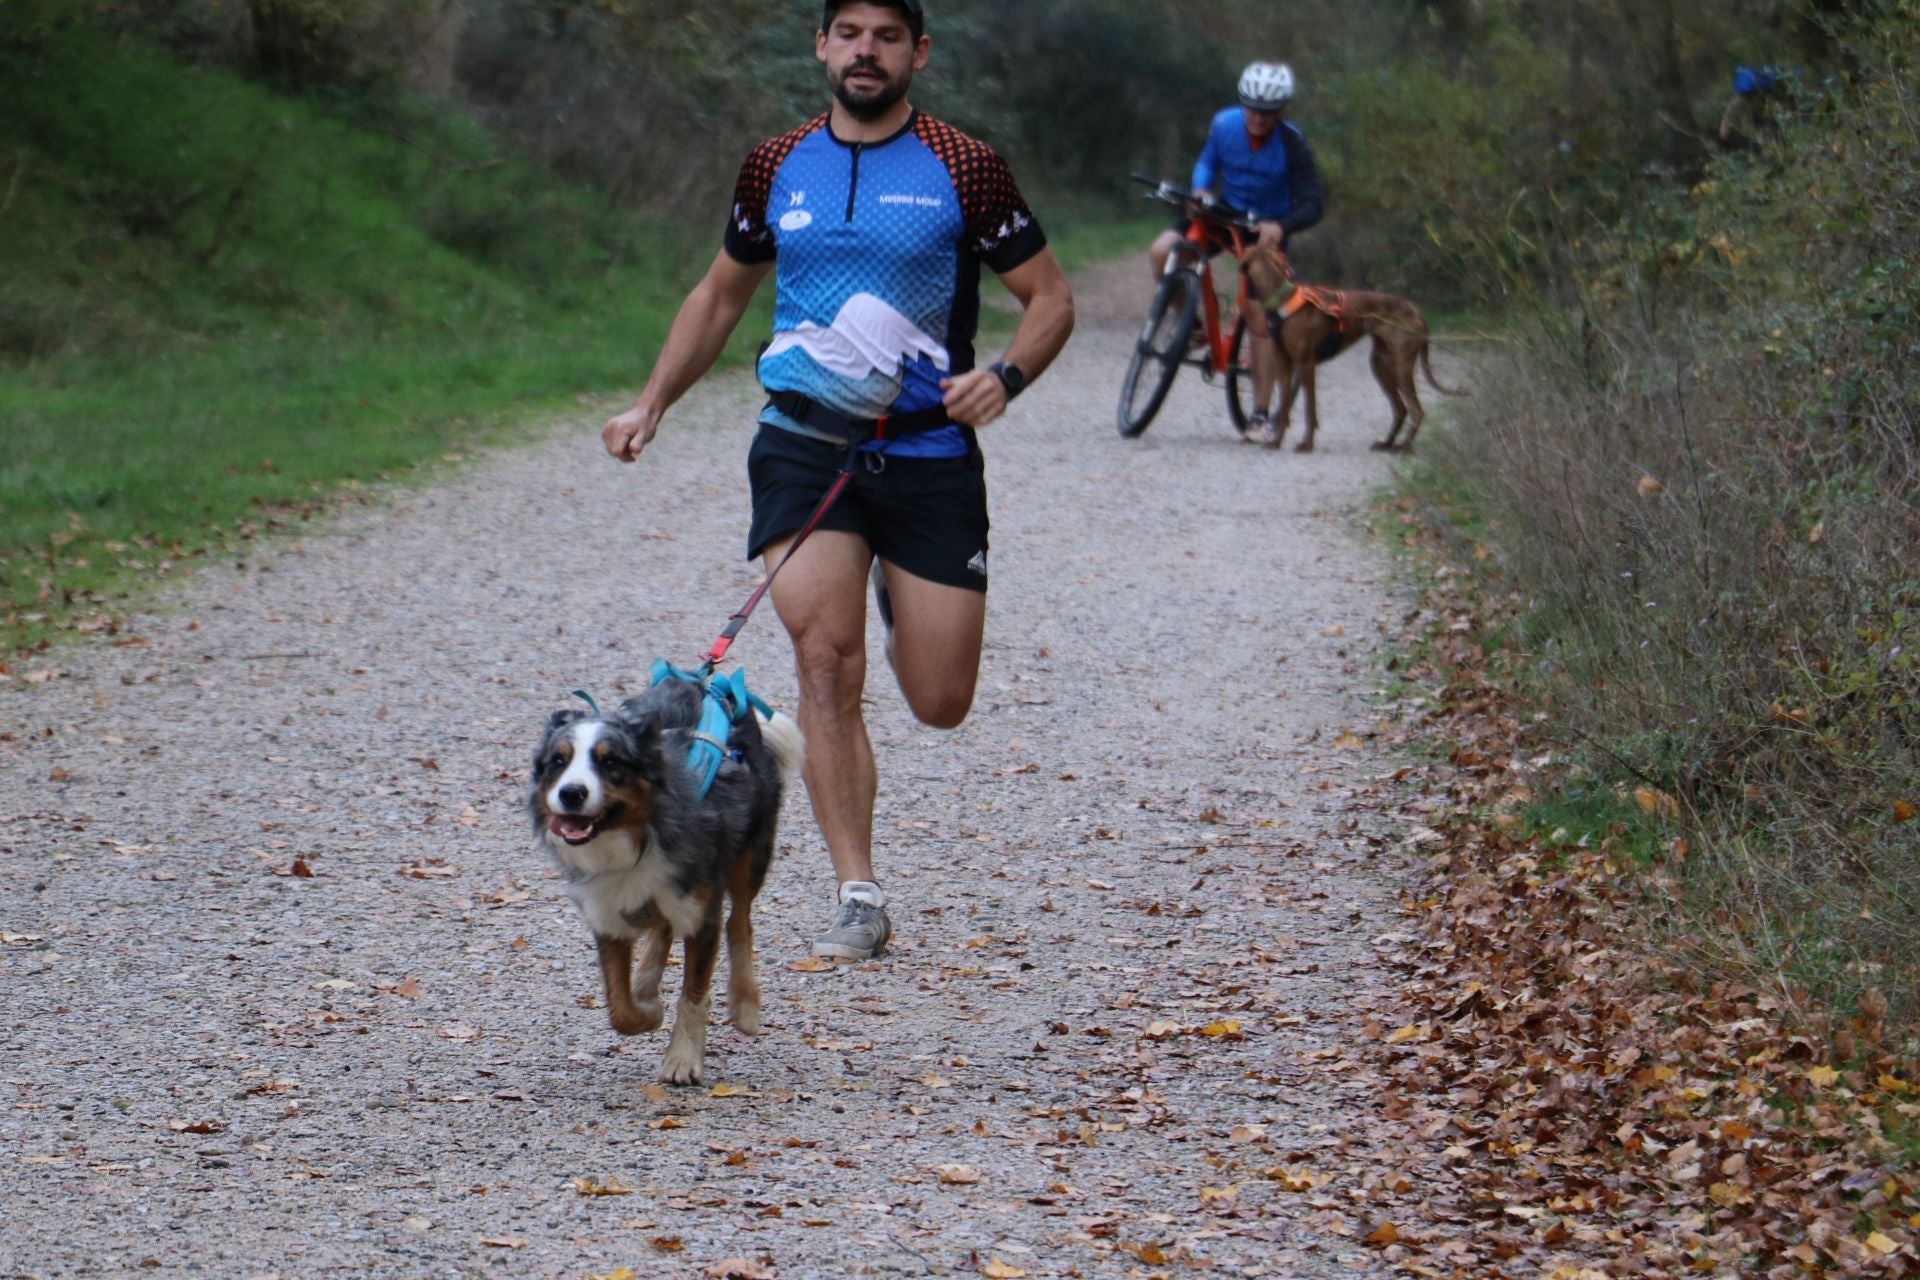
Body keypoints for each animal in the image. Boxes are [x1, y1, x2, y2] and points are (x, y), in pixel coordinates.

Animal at [1236, 247, 1459, 452]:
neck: (1281, 299)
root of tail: (1418, 314)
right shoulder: (1283, 364)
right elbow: (1283, 408)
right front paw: (1276, 441)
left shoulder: (1306, 364)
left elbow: (1310, 410)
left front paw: (1307, 444)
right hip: (1380, 364)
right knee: (1401, 409)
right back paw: (1386, 443)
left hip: (1401, 365)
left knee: (1416, 410)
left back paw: (1403, 446)